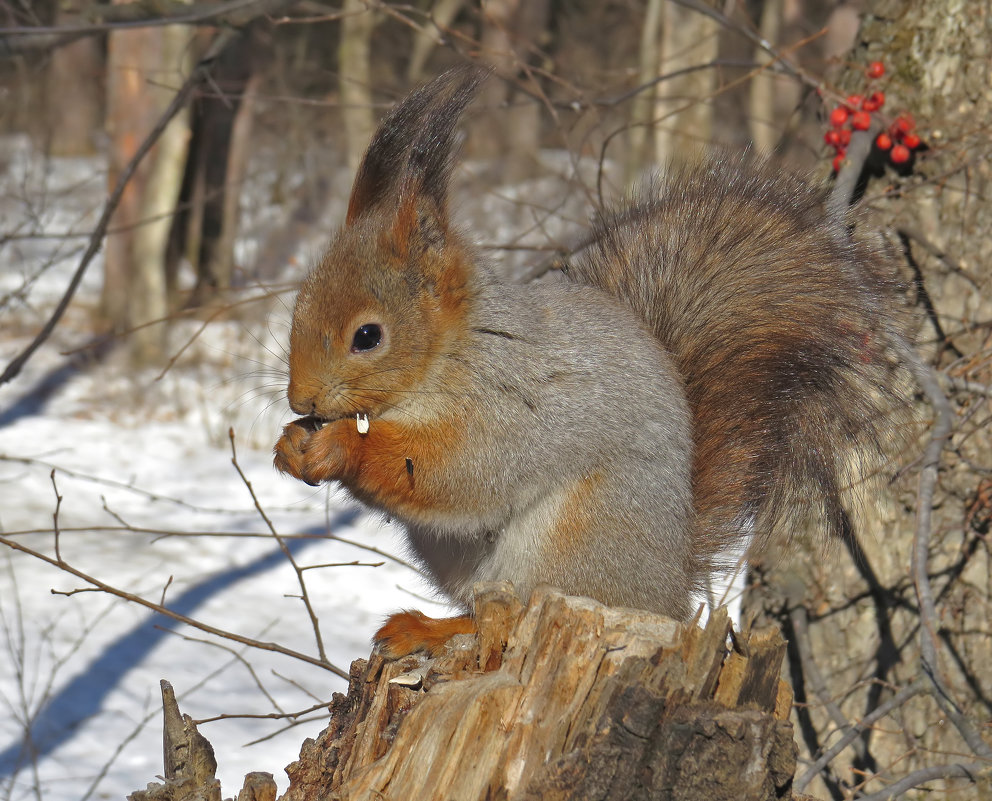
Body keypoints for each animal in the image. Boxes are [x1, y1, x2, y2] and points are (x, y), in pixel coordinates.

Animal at [274, 67, 908, 656]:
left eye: (367, 336)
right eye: (298, 306)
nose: (301, 399)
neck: (452, 353)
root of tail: (666, 593)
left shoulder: (515, 406)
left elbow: (455, 471)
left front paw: (340, 447)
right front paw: (291, 443)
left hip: (573, 543)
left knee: (505, 611)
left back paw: (436, 628)